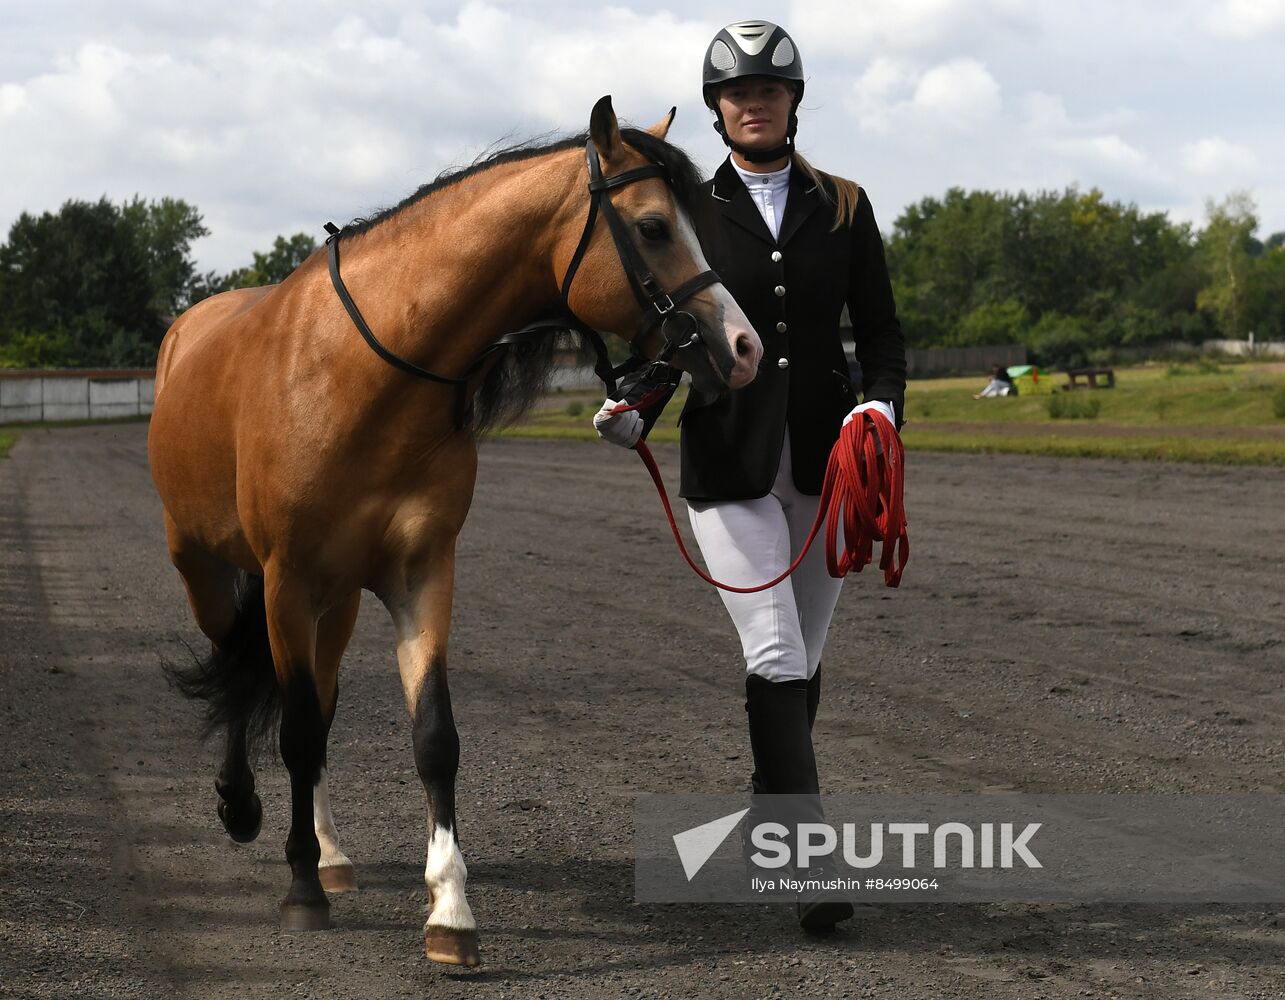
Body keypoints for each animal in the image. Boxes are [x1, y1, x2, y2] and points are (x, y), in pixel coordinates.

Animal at [147, 96, 761, 968]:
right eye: (650, 228)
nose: (742, 349)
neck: (363, 374)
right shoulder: (286, 578)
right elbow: (291, 729)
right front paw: (299, 891)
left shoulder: (420, 572)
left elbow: (430, 736)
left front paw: (449, 910)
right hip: (206, 566)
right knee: (237, 667)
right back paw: (245, 809)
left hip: (335, 602)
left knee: (316, 704)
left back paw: (329, 853)